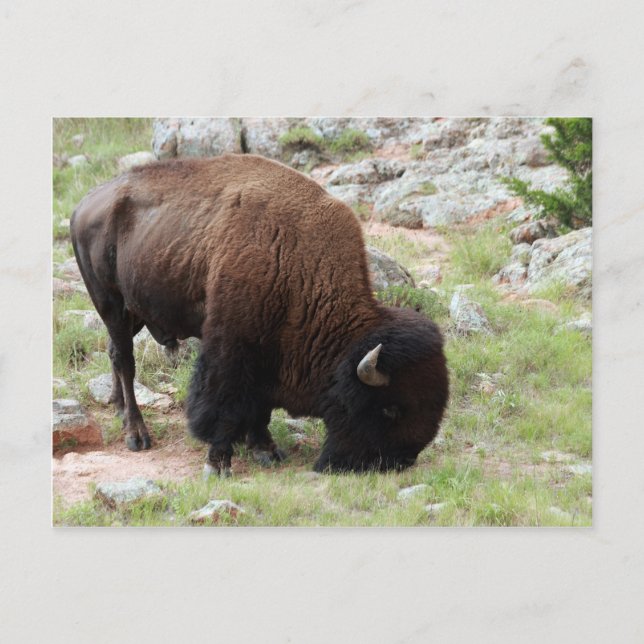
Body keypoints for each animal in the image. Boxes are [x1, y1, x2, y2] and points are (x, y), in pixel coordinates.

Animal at [70, 154, 448, 475]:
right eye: (389, 409)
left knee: (113, 352)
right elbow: (223, 403)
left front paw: (266, 449)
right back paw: (136, 434)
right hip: (111, 304)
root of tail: (83, 205)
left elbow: (260, 406)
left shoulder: (269, 354)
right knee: (125, 359)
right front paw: (218, 462)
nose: (401, 461)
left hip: (135, 312)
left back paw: (120, 410)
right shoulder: (232, 346)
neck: (300, 266)